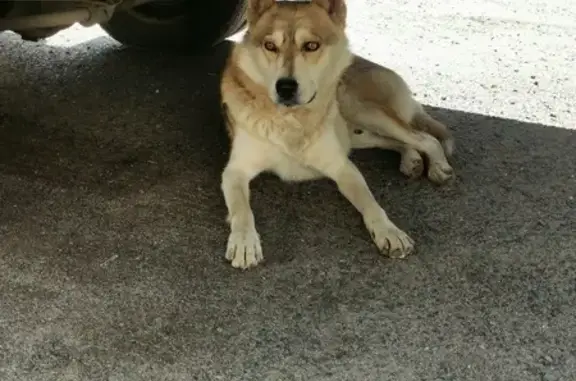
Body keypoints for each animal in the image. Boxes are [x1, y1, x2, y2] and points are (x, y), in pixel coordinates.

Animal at [219, 0, 454, 268]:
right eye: (270, 46)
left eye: (311, 45)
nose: (285, 87)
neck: (291, 121)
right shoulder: (234, 172)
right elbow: (242, 210)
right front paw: (244, 242)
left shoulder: (342, 167)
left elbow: (370, 202)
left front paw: (389, 231)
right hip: (359, 133)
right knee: (397, 141)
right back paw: (411, 160)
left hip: (362, 110)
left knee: (425, 138)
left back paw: (438, 166)